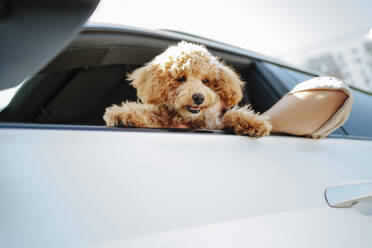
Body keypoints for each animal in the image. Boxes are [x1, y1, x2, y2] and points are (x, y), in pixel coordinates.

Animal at [103, 41, 272, 137]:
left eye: (206, 81)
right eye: (180, 78)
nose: (199, 98)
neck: (188, 119)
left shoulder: (212, 124)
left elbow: (229, 115)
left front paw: (254, 122)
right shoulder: (161, 118)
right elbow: (147, 114)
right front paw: (122, 114)